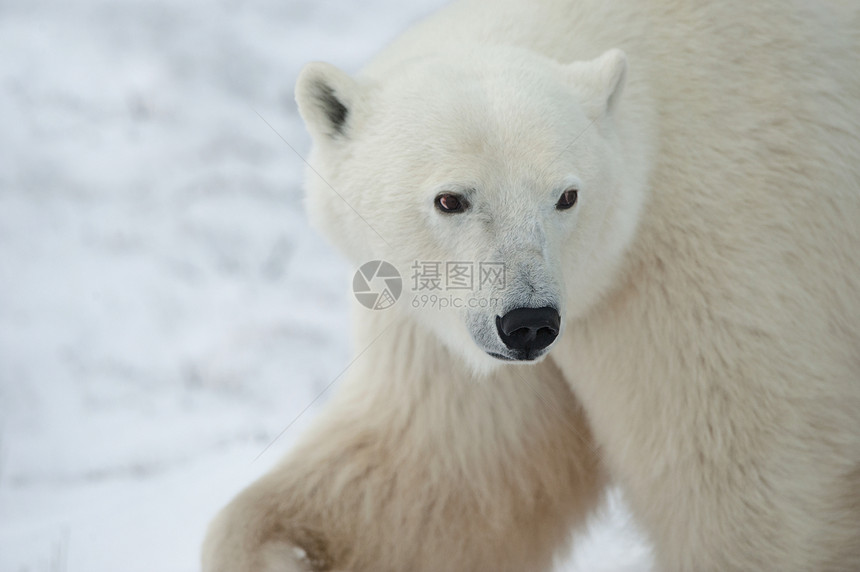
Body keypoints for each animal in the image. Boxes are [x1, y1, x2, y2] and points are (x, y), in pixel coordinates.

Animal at [205, 2, 860, 568]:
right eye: (451, 199)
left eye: (565, 195)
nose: (528, 324)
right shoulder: (442, 322)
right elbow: (439, 473)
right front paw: (278, 548)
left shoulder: (712, 268)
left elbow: (746, 490)